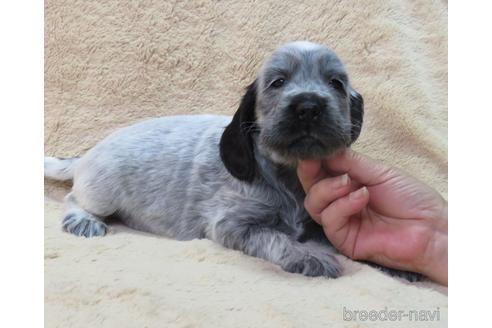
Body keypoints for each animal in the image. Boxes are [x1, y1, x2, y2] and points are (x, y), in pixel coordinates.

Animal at [44, 41, 418, 280]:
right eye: (277, 82)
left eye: (336, 83)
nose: (309, 106)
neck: (285, 177)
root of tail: (87, 155)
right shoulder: (233, 224)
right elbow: (277, 238)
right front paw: (308, 256)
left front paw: (392, 260)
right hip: (103, 189)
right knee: (73, 198)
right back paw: (83, 220)